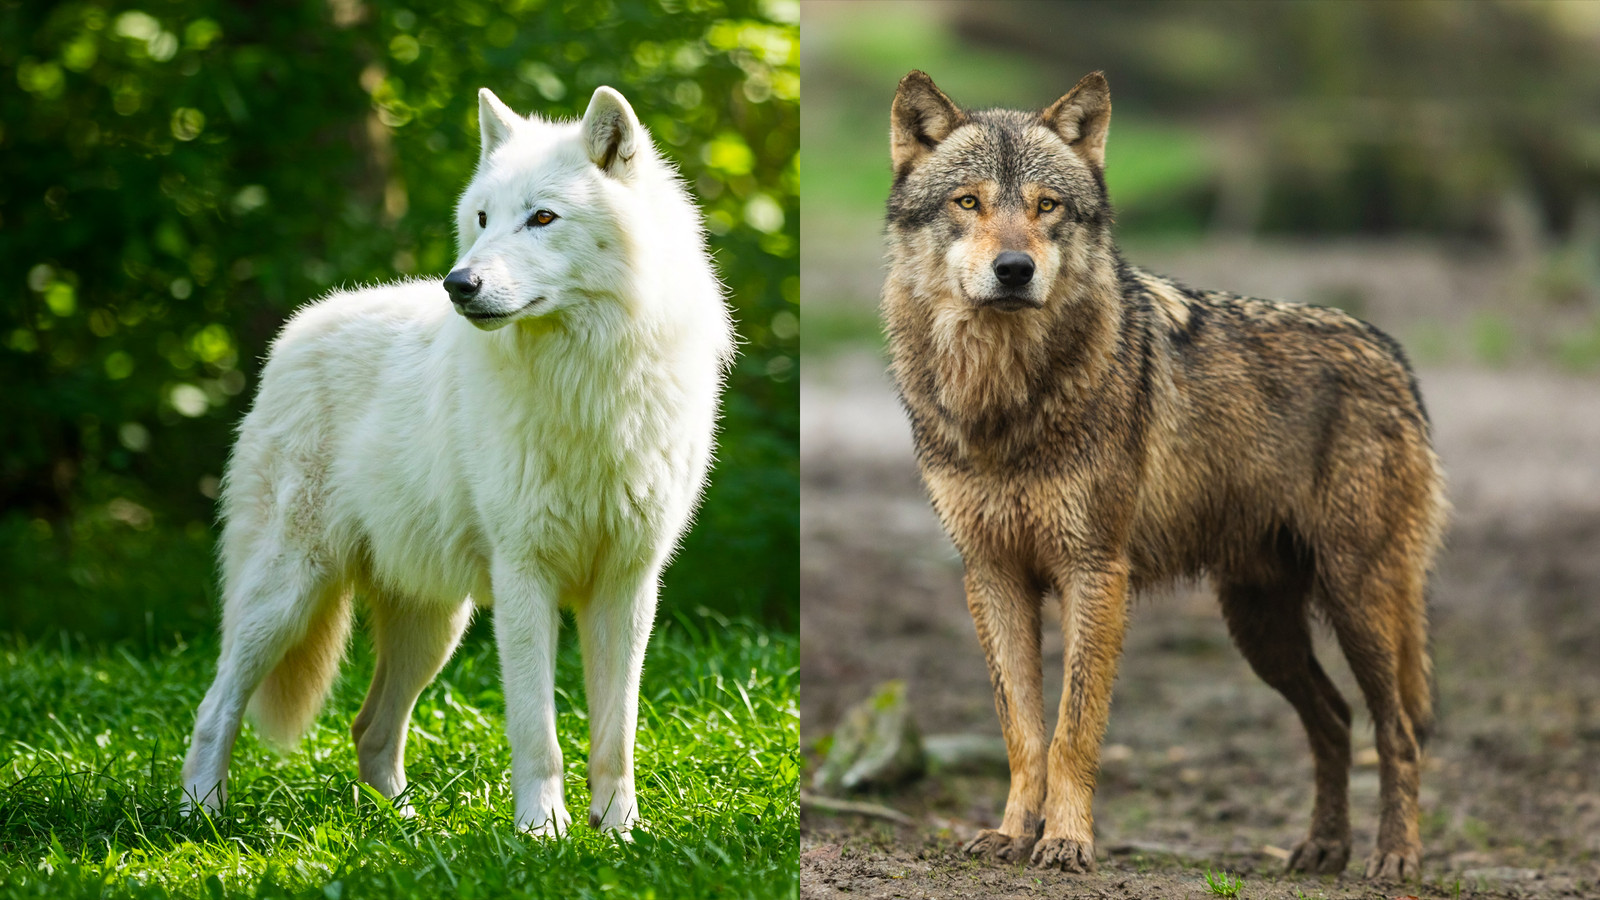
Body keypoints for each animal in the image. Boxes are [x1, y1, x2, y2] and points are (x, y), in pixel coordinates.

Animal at [181, 86, 734, 836]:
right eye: (482, 218)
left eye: (541, 217)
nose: (458, 284)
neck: (586, 384)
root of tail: (298, 329)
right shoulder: (526, 576)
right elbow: (538, 731)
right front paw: (542, 832)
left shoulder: (628, 584)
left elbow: (615, 735)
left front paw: (619, 832)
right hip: (288, 593)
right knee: (216, 705)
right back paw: (201, 815)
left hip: (433, 625)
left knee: (370, 727)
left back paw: (406, 828)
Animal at [881, 70, 1444, 881]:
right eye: (969, 202)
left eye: (1046, 206)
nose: (1014, 270)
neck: (1005, 401)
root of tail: (1394, 357)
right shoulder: (991, 576)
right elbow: (1022, 730)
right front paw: (1012, 835)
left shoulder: (1095, 571)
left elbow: (1073, 729)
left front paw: (1067, 842)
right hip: (1261, 624)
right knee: (1335, 720)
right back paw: (1321, 848)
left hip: (1356, 599)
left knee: (1396, 731)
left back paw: (1395, 858)